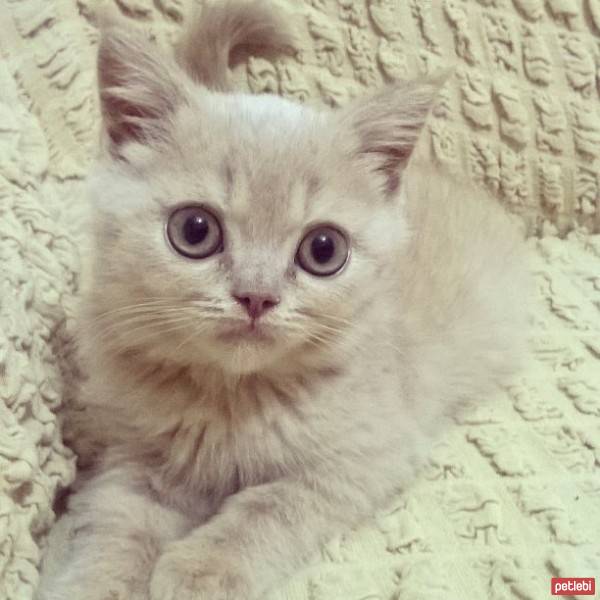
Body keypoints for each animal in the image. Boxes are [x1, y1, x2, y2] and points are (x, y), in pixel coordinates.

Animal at [37, 1, 528, 600]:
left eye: (324, 249)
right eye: (194, 230)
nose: (257, 295)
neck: (230, 400)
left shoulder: (369, 454)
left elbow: (271, 504)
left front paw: (202, 568)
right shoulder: (133, 448)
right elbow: (118, 520)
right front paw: (96, 579)